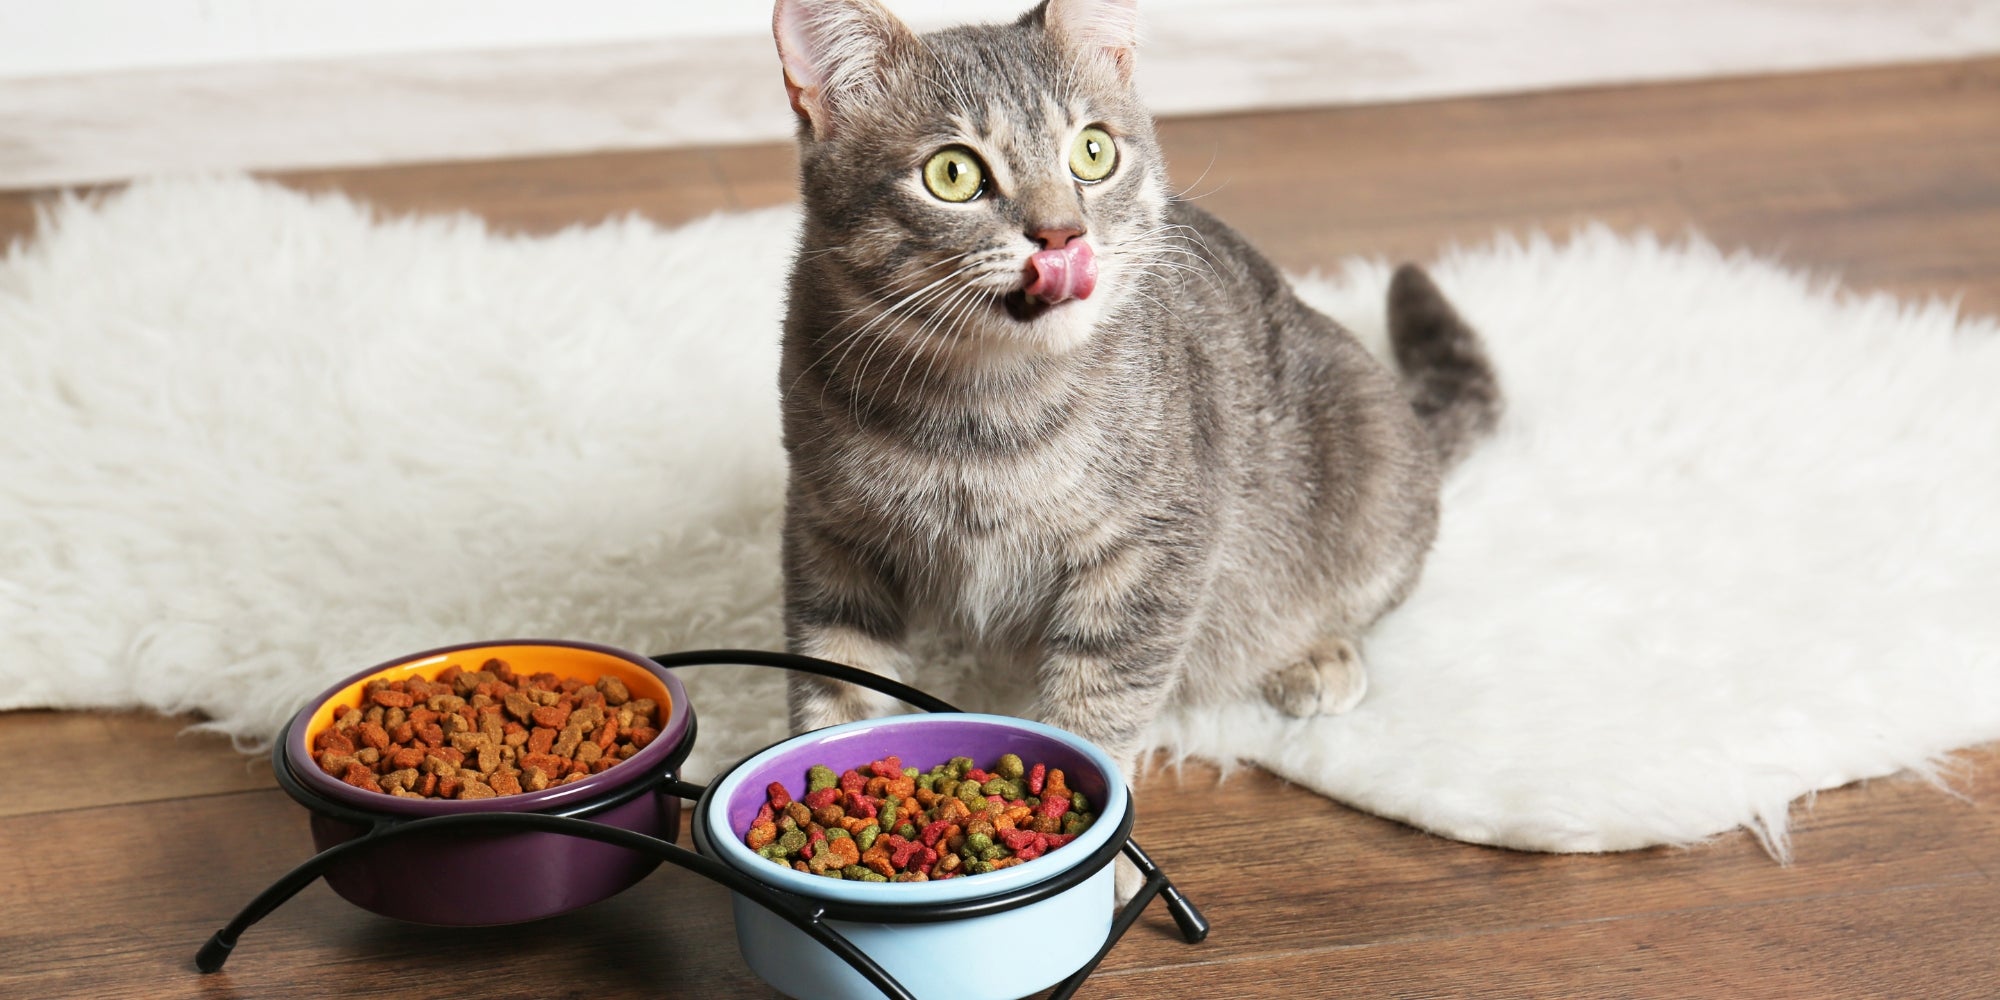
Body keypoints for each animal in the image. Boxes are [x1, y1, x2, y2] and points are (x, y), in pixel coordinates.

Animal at [772, 0, 1496, 780]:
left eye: (1093, 153)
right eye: (953, 173)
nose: (1062, 234)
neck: (976, 413)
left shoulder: (1155, 548)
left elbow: (1097, 708)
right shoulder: (828, 530)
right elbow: (835, 677)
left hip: (1369, 456)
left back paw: (1315, 653)